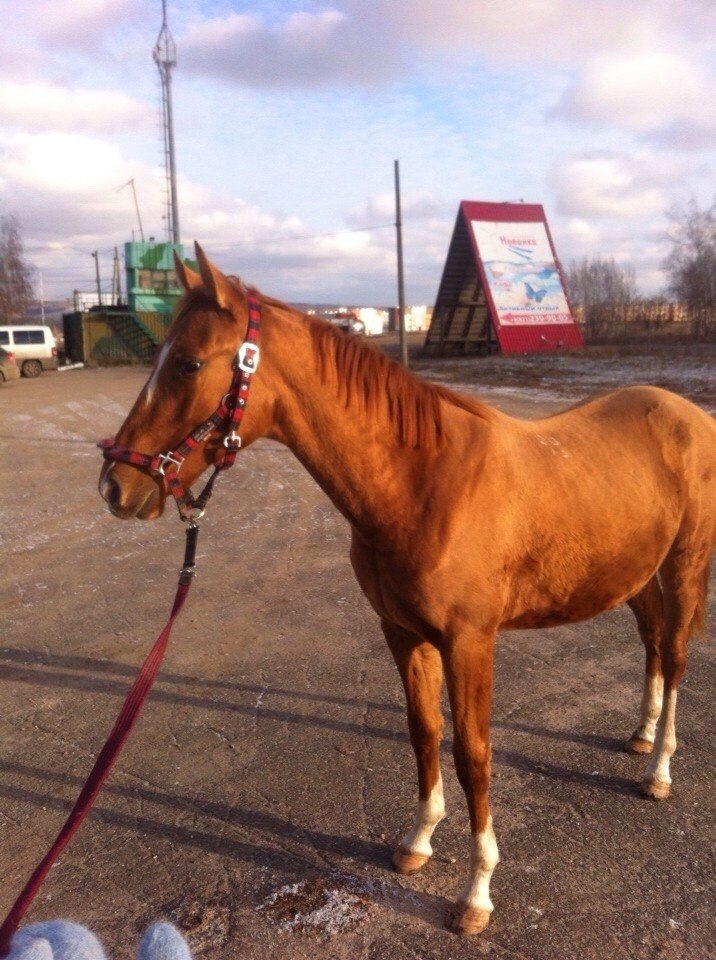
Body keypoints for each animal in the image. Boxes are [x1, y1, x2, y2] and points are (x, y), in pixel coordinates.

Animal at [99, 244, 716, 936]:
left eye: (188, 363)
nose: (116, 486)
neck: (423, 481)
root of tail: (688, 412)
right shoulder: (402, 634)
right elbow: (423, 733)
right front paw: (418, 842)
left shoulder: (470, 643)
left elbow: (473, 754)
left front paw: (477, 894)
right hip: (635, 574)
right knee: (653, 644)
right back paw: (640, 734)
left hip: (684, 565)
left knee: (677, 654)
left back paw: (659, 769)